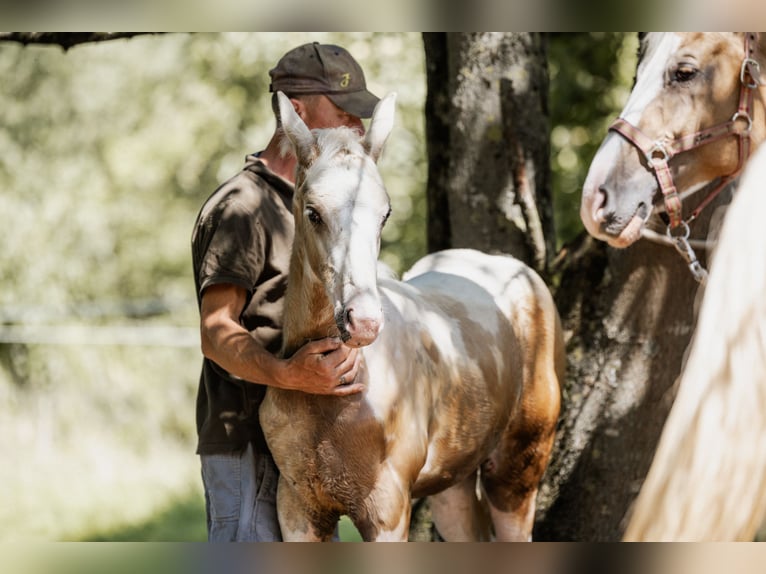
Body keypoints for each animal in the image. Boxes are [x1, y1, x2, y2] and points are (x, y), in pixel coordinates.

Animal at [258, 92, 564, 544]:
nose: (363, 321)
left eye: (384, 213)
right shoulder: (298, 511)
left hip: (515, 474)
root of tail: (518, 271)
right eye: (312, 212)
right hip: (453, 485)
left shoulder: (386, 512)